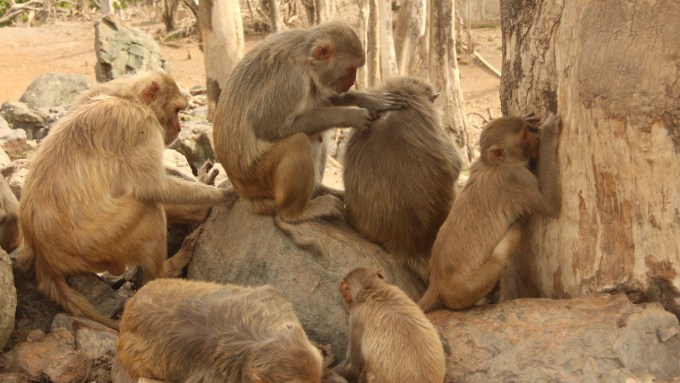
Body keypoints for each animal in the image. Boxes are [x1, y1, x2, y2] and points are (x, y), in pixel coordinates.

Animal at [17, 71, 231, 330]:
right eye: (177, 110)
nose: (179, 128)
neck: (128, 99)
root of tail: (44, 257)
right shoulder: (140, 124)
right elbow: (150, 186)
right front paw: (222, 196)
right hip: (103, 243)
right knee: (147, 205)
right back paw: (166, 269)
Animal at [212, 20, 406, 255]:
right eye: (350, 69)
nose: (352, 83)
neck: (305, 58)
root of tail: (244, 194)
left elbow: (321, 99)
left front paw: (368, 99)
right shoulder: (291, 81)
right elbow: (267, 125)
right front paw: (352, 115)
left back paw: (319, 191)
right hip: (257, 176)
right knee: (297, 142)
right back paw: (296, 212)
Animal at [420, 113, 564, 312]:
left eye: (527, 129)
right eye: (525, 136)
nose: (537, 138)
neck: (493, 164)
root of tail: (435, 283)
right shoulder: (515, 176)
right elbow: (550, 204)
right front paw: (550, 132)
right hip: (465, 289)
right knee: (498, 259)